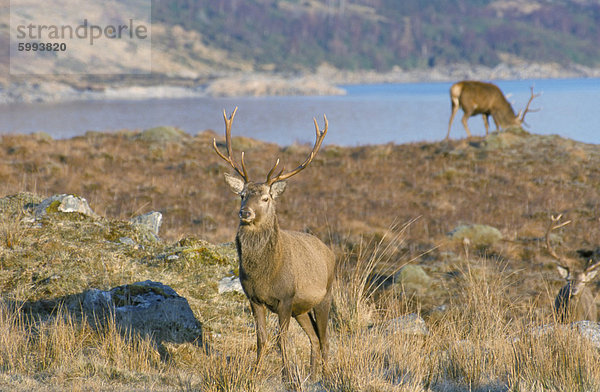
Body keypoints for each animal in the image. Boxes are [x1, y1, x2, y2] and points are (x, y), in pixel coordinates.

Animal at [211, 106, 336, 380]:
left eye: (266, 198)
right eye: (242, 195)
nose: (245, 213)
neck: (264, 275)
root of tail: (330, 252)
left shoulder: (286, 298)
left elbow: (282, 340)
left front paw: (287, 375)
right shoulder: (253, 298)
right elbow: (262, 339)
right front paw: (255, 372)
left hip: (325, 296)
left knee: (325, 339)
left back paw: (327, 374)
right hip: (302, 309)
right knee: (313, 338)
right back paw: (312, 374)